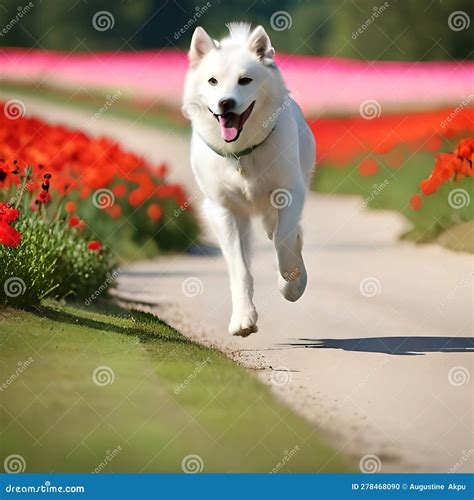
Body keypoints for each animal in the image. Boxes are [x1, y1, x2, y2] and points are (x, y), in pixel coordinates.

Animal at [183, 22, 316, 336]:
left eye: (245, 80)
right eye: (212, 81)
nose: (225, 103)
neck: (242, 154)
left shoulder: (289, 192)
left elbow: (283, 240)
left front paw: (289, 283)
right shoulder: (223, 210)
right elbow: (239, 267)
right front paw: (243, 319)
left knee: (286, 234)